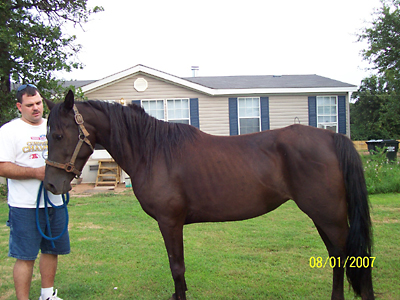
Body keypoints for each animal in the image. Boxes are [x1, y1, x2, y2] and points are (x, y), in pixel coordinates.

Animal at [43, 90, 376, 298]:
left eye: (57, 135)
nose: (51, 186)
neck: (153, 151)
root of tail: (333, 138)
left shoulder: (170, 222)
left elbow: (176, 267)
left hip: (330, 217)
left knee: (351, 257)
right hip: (323, 217)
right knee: (337, 257)